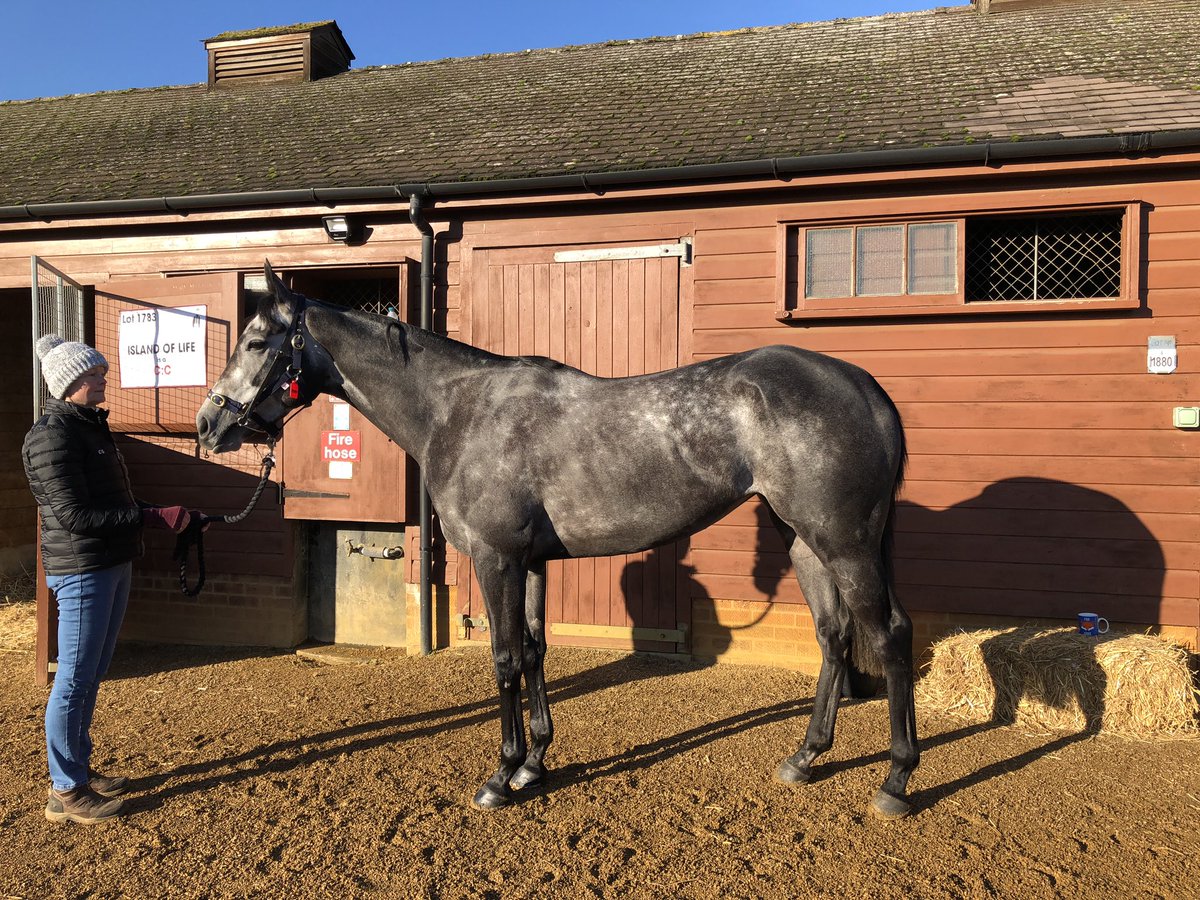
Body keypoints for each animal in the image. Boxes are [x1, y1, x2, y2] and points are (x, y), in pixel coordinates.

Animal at [196, 262, 919, 819]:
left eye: (257, 342)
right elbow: (536, 650)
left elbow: (505, 658)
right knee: (834, 636)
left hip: (845, 542)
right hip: (804, 541)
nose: (209, 424)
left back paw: (896, 780)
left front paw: (501, 775)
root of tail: (864, 385)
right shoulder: (533, 561)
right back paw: (805, 757)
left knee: (888, 634)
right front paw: (536, 763)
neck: (456, 410)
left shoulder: (495, 558)